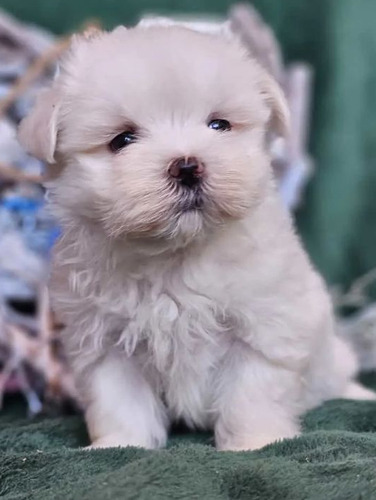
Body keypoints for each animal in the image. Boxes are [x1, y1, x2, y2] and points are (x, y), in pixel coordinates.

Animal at [19, 21, 374, 452]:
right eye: (122, 140)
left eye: (219, 125)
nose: (187, 166)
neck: (176, 253)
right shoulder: (105, 339)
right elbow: (119, 399)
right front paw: (121, 445)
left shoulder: (263, 323)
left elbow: (252, 392)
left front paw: (255, 443)